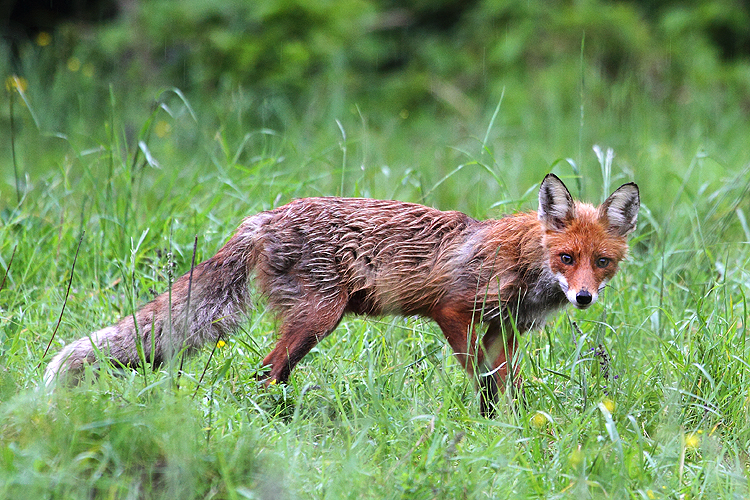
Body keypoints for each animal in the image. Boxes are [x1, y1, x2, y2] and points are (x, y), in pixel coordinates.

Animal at [44, 174, 640, 416]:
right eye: (566, 259)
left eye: (601, 263)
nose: (583, 299)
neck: (524, 263)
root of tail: (264, 215)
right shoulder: (452, 310)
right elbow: (483, 381)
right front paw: (490, 427)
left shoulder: (507, 328)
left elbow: (504, 385)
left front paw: (510, 428)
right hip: (317, 319)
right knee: (263, 372)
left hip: (311, 324)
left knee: (268, 373)